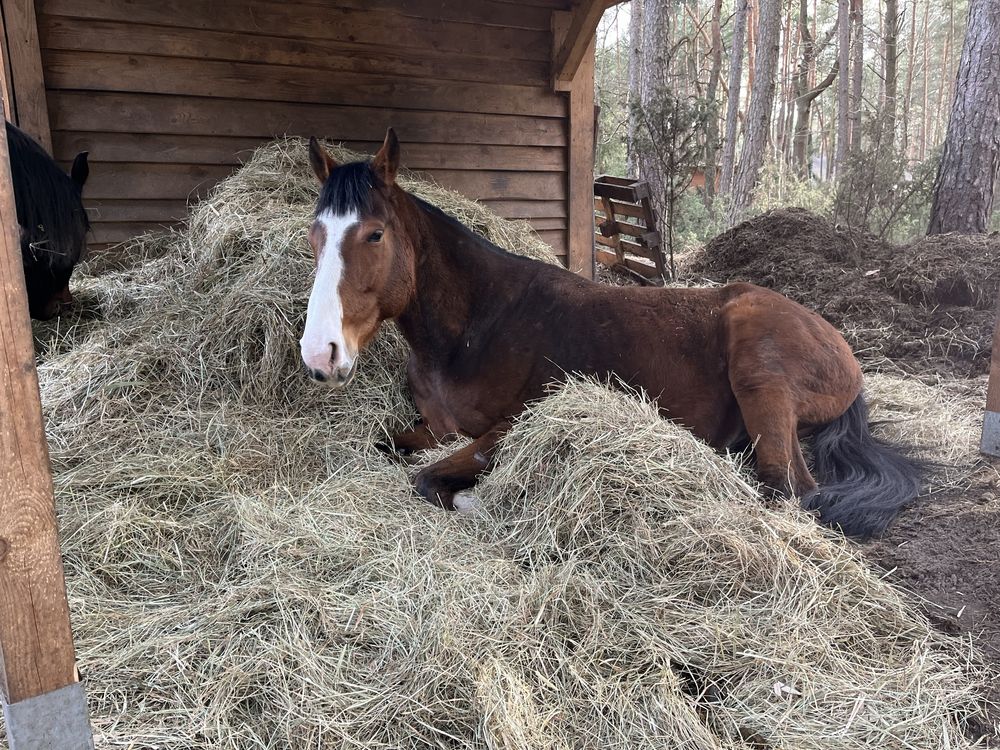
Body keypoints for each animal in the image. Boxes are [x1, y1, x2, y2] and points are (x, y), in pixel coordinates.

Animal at [298, 131, 920, 540]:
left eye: (374, 235)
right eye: (314, 235)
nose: (319, 353)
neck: (476, 327)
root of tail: (844, 353)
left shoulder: (513, 425)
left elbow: (427, 479)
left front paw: (480, 502)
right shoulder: (432, 427)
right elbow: (387, 447)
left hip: (760, 373)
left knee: (790, 489)